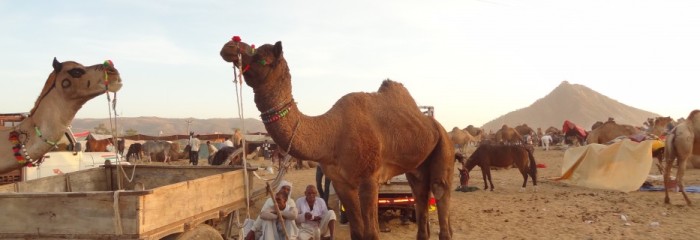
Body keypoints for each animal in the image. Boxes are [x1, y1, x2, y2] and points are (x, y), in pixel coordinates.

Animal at [221, 38, 456, 239]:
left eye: (261, 57)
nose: (230, 45)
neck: (332, 133)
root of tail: (436, 125)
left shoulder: (369, 180)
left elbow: (372, 233)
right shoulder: (342, 183)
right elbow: (357, 232)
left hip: (444, 147)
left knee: (440, 191)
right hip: (417, 167)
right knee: (420, 192)